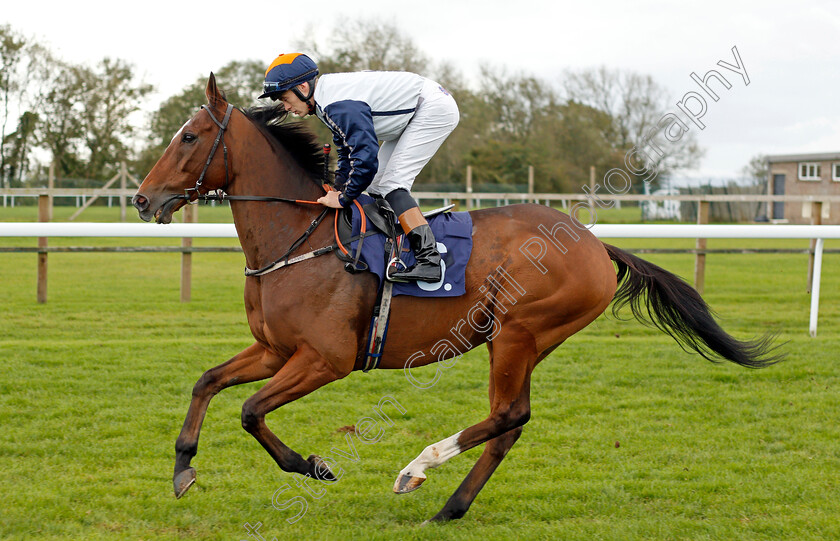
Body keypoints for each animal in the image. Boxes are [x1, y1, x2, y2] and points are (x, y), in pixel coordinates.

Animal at [133, 74, 780, 520]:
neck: (301, 238)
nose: (142, 200)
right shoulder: (274, 350)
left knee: (508, 415)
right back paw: (451, 507)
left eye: (189, 136)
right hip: (519, 340)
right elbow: (207, 383)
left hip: (520, 331)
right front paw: (183, 469)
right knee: (510, 423)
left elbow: (249, 411)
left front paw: (313, 466)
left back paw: (417, 469)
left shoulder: (325, 359)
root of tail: (596, 244)